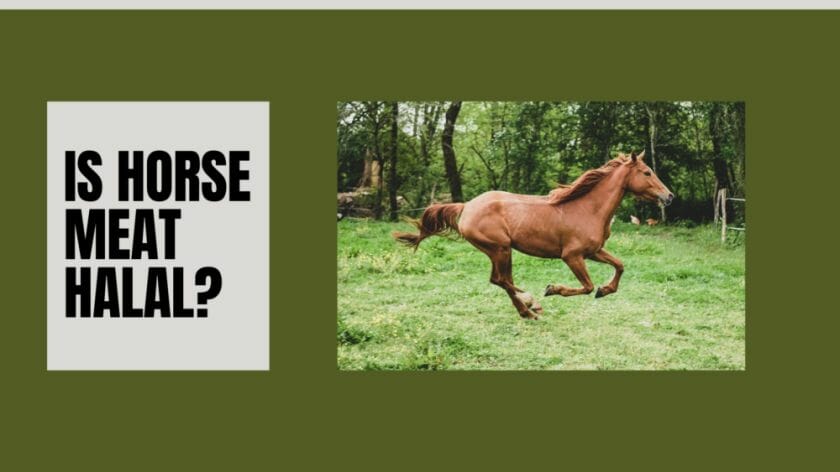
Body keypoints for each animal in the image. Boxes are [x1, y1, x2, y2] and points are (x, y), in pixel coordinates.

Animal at [393, 151, 673, 320]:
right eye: (647, 172)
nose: (669, 196)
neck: (587, 209)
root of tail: (467, 206)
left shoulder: (593, 252)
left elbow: (620, 265)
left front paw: (606, 290)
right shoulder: (572, 256)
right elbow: (586, 286)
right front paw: (553, 289)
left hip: (500, 252)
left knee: (502, 280)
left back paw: (528, 308)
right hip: (500, 249)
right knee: (501, 280)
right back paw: (530, 306)